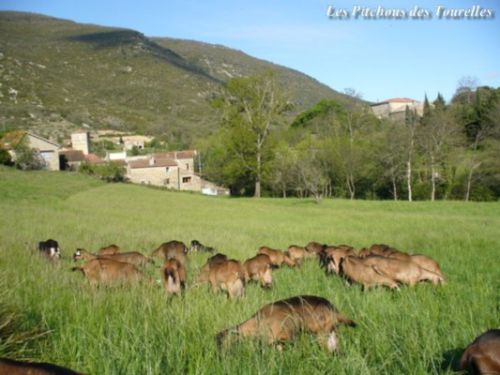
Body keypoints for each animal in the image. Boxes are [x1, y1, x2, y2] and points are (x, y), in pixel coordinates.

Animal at [218, 296, 356, 352]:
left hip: (322, 334)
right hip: (331, 333)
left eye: (221, 345)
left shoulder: (287, 338)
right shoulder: (277, 342)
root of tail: (334, 309)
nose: (219, 358)